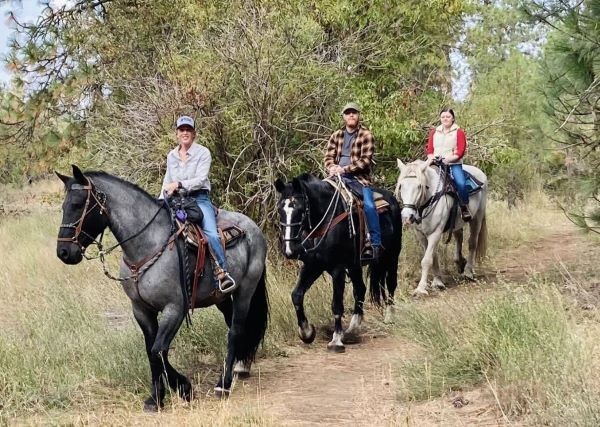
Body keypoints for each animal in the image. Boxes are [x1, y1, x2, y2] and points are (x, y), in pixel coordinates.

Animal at [55, 165, 268, 411]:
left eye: (78, 204)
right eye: (64, 206)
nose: (63, 252)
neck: (148, 244)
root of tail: (254, 227)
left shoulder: (174, 308)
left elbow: (158, 350)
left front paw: (182, 388)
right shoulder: (141, 310)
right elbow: (152, 351)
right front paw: (158, 396)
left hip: (245, 290)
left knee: (235, 330)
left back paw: (223, 384)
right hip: (222, 297)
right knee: (232, 323)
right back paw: (241, 366)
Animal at [274, 173, 402, 352]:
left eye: (300, 209)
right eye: (280, 210)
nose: (290, 249)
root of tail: (392, 198)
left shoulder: (338, 269)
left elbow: (336, 304)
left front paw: (336, 340)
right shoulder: (312, 266)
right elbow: (297, 296)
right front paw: (306, 332)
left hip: (392, 256)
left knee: (390, 284)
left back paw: (389, 317)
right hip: (355, 266)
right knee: (360, 290)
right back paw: (352, 329)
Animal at [395, 159, 488, 296]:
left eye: (419, 186)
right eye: (401, 186)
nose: (407, 216)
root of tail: (481, 173)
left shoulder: (435, 232)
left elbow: (426, 260)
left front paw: (421, 288)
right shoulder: (421, 234)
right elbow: (433, 256)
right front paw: (438, 281)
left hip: (477, 218)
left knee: (472, 243)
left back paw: (468, 272)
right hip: (456, 223)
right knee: (459, 237)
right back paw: (460, 262)